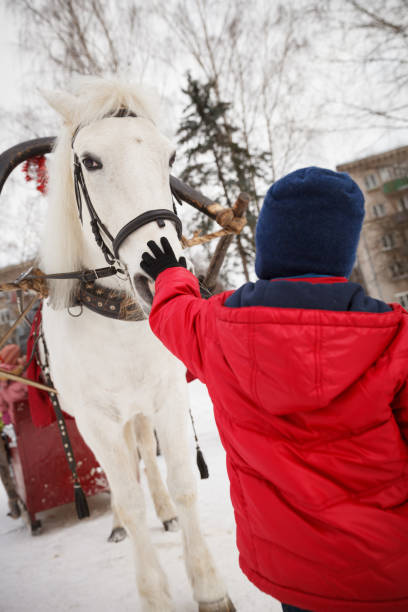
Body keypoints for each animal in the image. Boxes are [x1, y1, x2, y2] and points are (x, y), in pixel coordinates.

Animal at [40, 76, 234, 612]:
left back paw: (163, 510)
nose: (160, 268)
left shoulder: (166, 398)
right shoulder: (95, 421)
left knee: (145, 450)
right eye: (90, 161)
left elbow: (184, 483)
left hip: (141, 410)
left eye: (168, 158)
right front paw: (155, 592)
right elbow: (126, 499)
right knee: (124, 472)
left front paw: (208, 585)